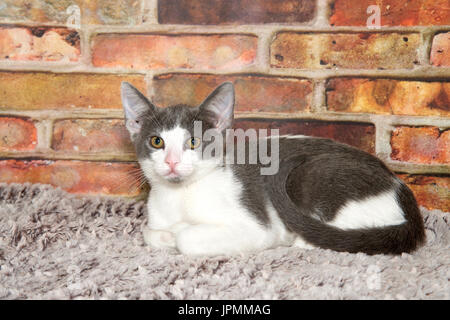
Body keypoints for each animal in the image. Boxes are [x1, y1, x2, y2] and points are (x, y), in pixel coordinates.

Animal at [119, 81, 426, 256]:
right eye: (156, 141)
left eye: (193, 141)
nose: (171, 162)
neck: (180, 196)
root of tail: (399, 187)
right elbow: (149, 232)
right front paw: (166, 234)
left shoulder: (256, 228)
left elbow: (185, 239)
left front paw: (179, 231)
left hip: (311, 174)